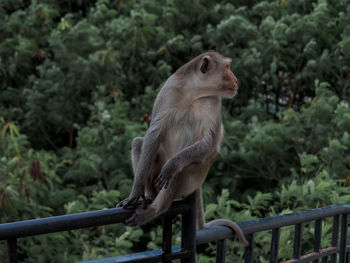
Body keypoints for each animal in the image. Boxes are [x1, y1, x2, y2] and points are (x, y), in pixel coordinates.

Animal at [117, 51, 249, 248]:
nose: (236, 79)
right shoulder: (168, 92)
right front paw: (135, 193)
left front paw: (172, 165)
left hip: (192, 181)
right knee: (139, 143)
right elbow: (153, 134)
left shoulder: (214, 102)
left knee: (178, 174)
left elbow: (208, 143)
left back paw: (156, 208)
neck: (193, 93)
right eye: (227, 67)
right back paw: (149, 195)